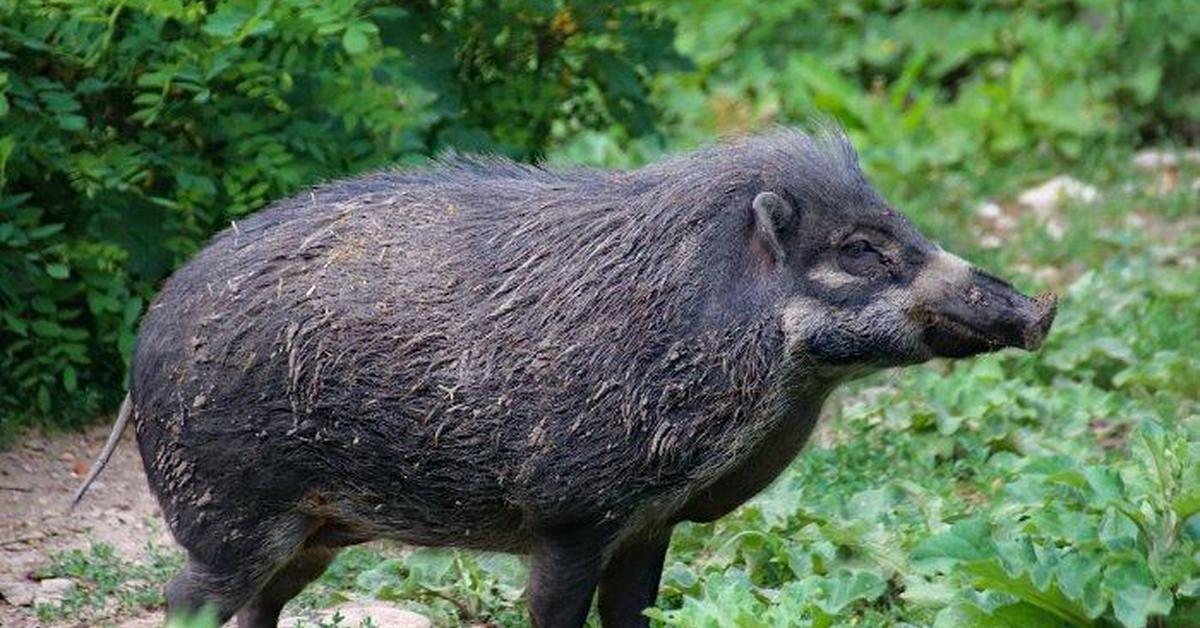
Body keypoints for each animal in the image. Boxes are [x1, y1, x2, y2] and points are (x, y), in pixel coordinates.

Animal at [72, 125, 1051, 624]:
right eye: (859, 249)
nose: (1040, 310)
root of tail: (148, 331)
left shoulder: (651, 523)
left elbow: (635, 617)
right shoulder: (571, 515)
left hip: (315, 530)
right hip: (230, 510)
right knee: (187, 595)